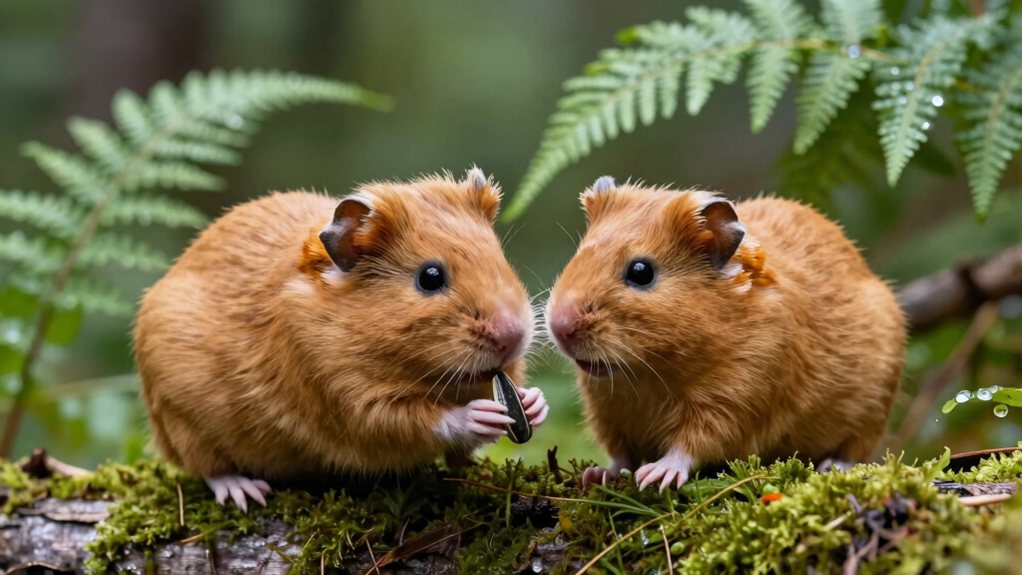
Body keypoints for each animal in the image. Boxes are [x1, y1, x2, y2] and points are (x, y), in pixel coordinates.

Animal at [134, 169, 548, 509]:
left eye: (500, 258)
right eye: (430, 277)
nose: (513, 335)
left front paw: (533, 404)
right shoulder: (354, 403)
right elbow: (428, 421)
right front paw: (482, 414)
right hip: (184, 422)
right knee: (208, 469)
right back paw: (247, 493)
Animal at [546, 177, 905, 492]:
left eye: (641, 271)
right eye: (580, 253)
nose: (559, 325)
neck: (648, 377)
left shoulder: (732, 402)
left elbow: (691, 446)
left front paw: (657, 475)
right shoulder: (609, 414)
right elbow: (620, 457)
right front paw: (595, 475)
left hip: (871, 412)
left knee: (855, 451)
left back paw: (831, 467)